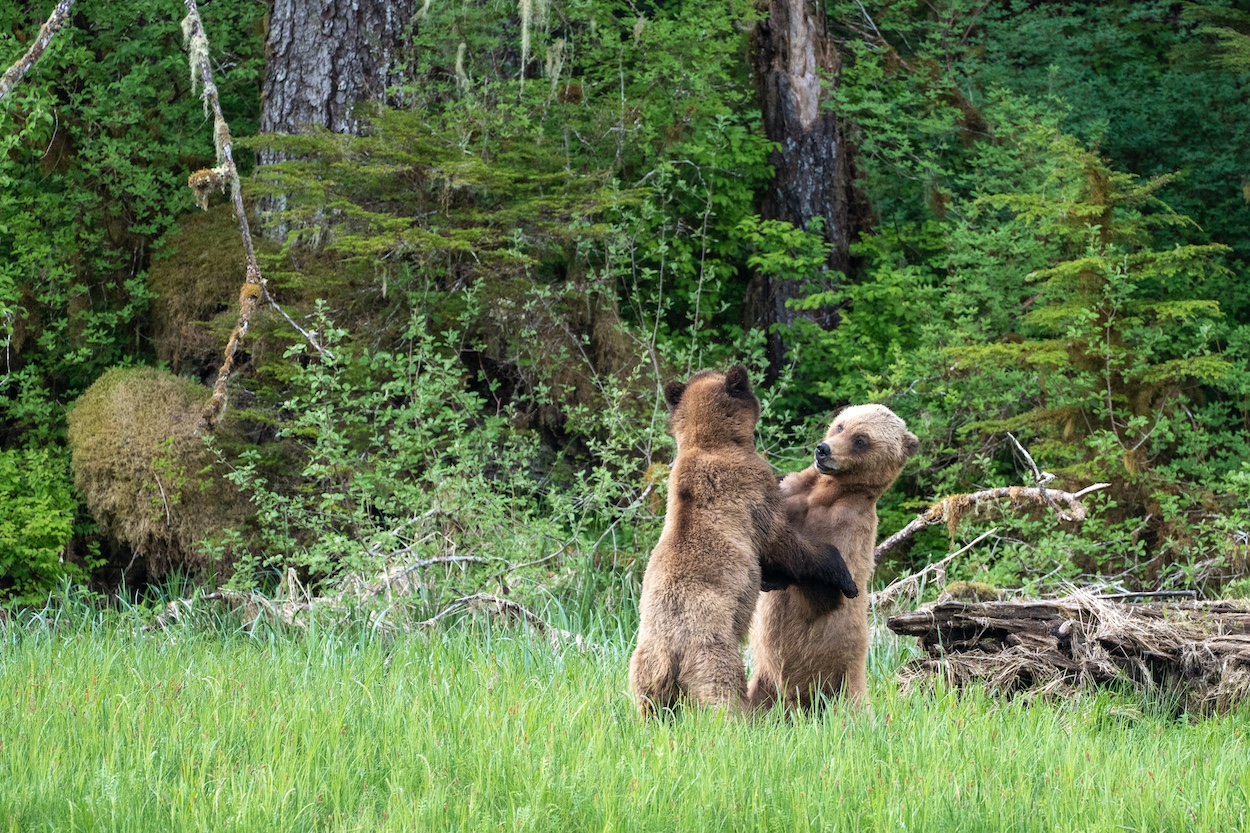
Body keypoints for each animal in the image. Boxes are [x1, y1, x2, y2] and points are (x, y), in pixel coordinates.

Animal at [627, 366, 859, 717]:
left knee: (650, 703)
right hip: (711, 651)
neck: (711, 443)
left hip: (645, 665)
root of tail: (670, 652)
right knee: (722, 690)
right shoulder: (753, 491)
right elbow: (783, 543)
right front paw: (842, 575)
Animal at [747, 404, 918, 711]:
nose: (823, 450)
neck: (824, 495)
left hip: (844, 683)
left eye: (861, 440)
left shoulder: (849, 528)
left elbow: (827, 593)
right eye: (840, 425)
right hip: (762, 682)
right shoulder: (791, 496)